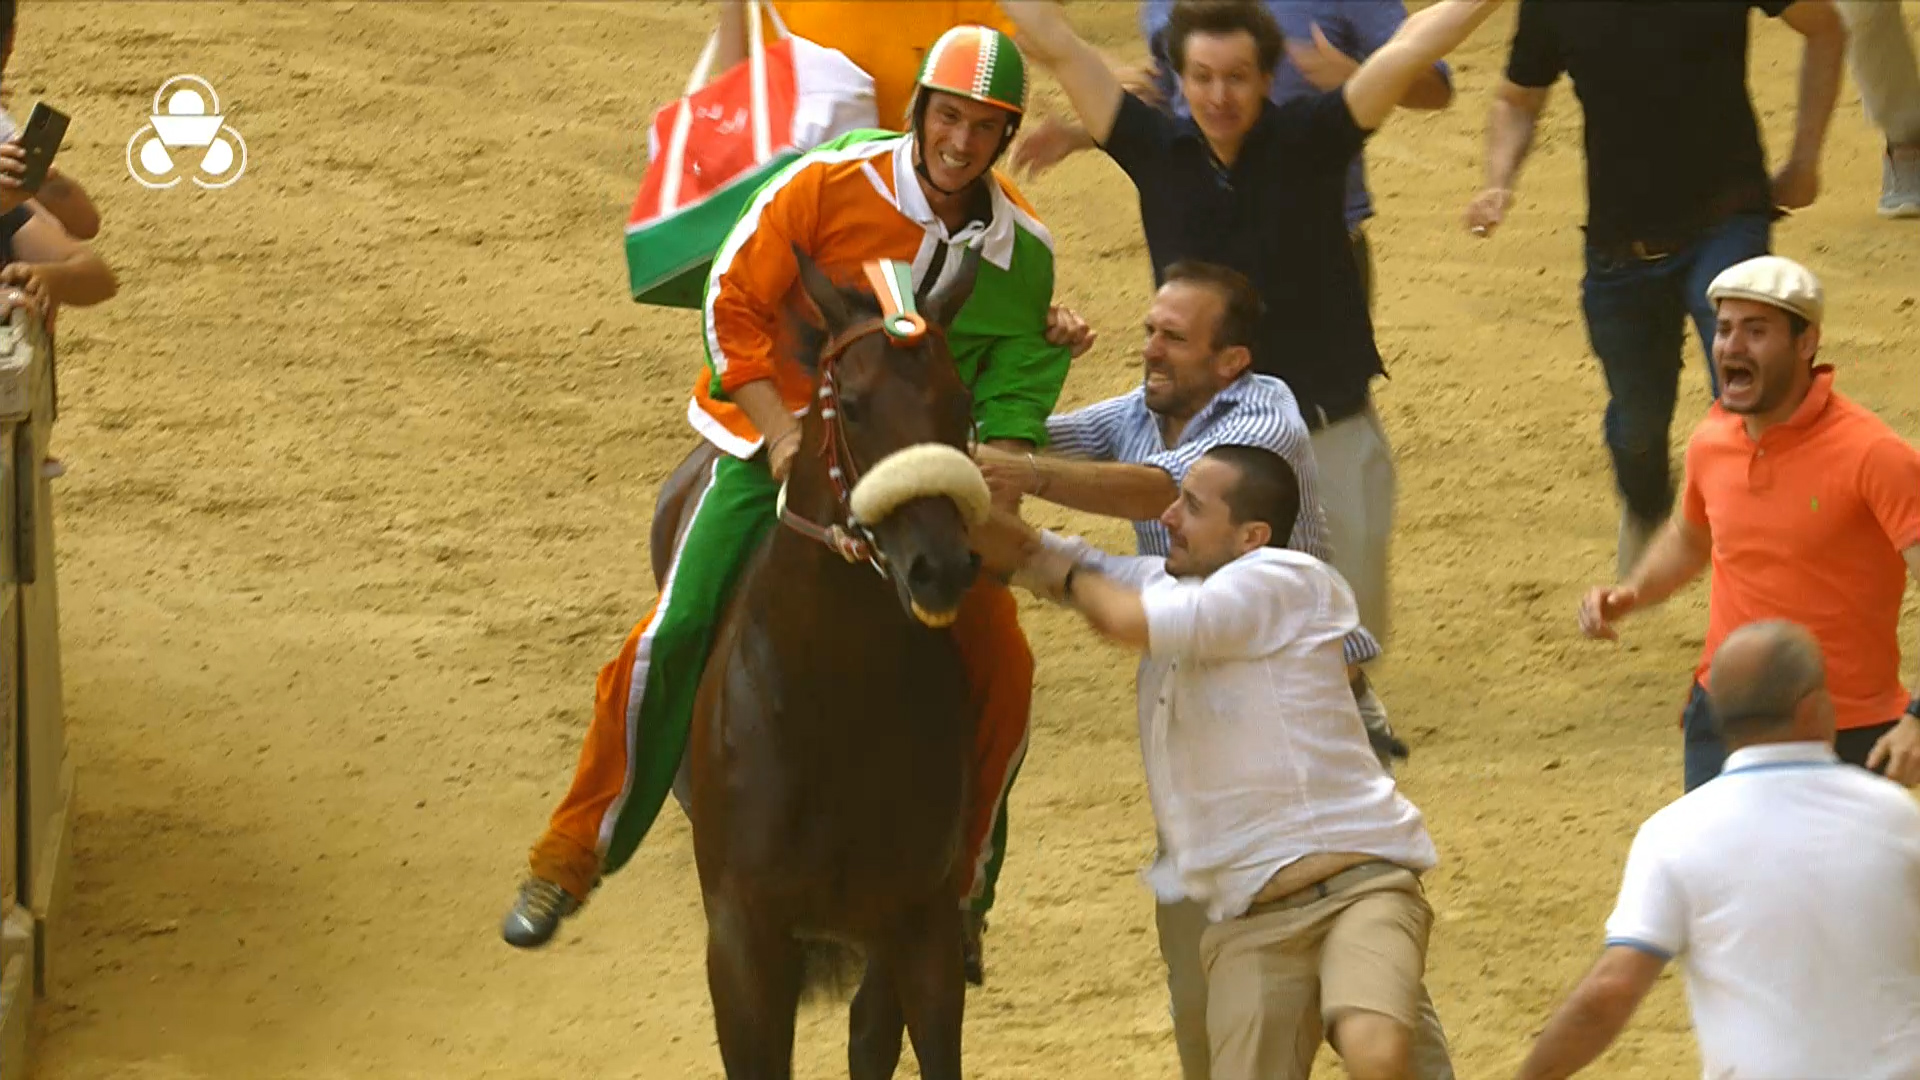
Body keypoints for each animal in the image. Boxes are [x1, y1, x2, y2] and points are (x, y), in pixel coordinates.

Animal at [660, 247, 990, 1068]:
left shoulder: (919, 919)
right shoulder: (744, 937)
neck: (834, 707)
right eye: (858, 405)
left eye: (961, 404)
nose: (939, 567)